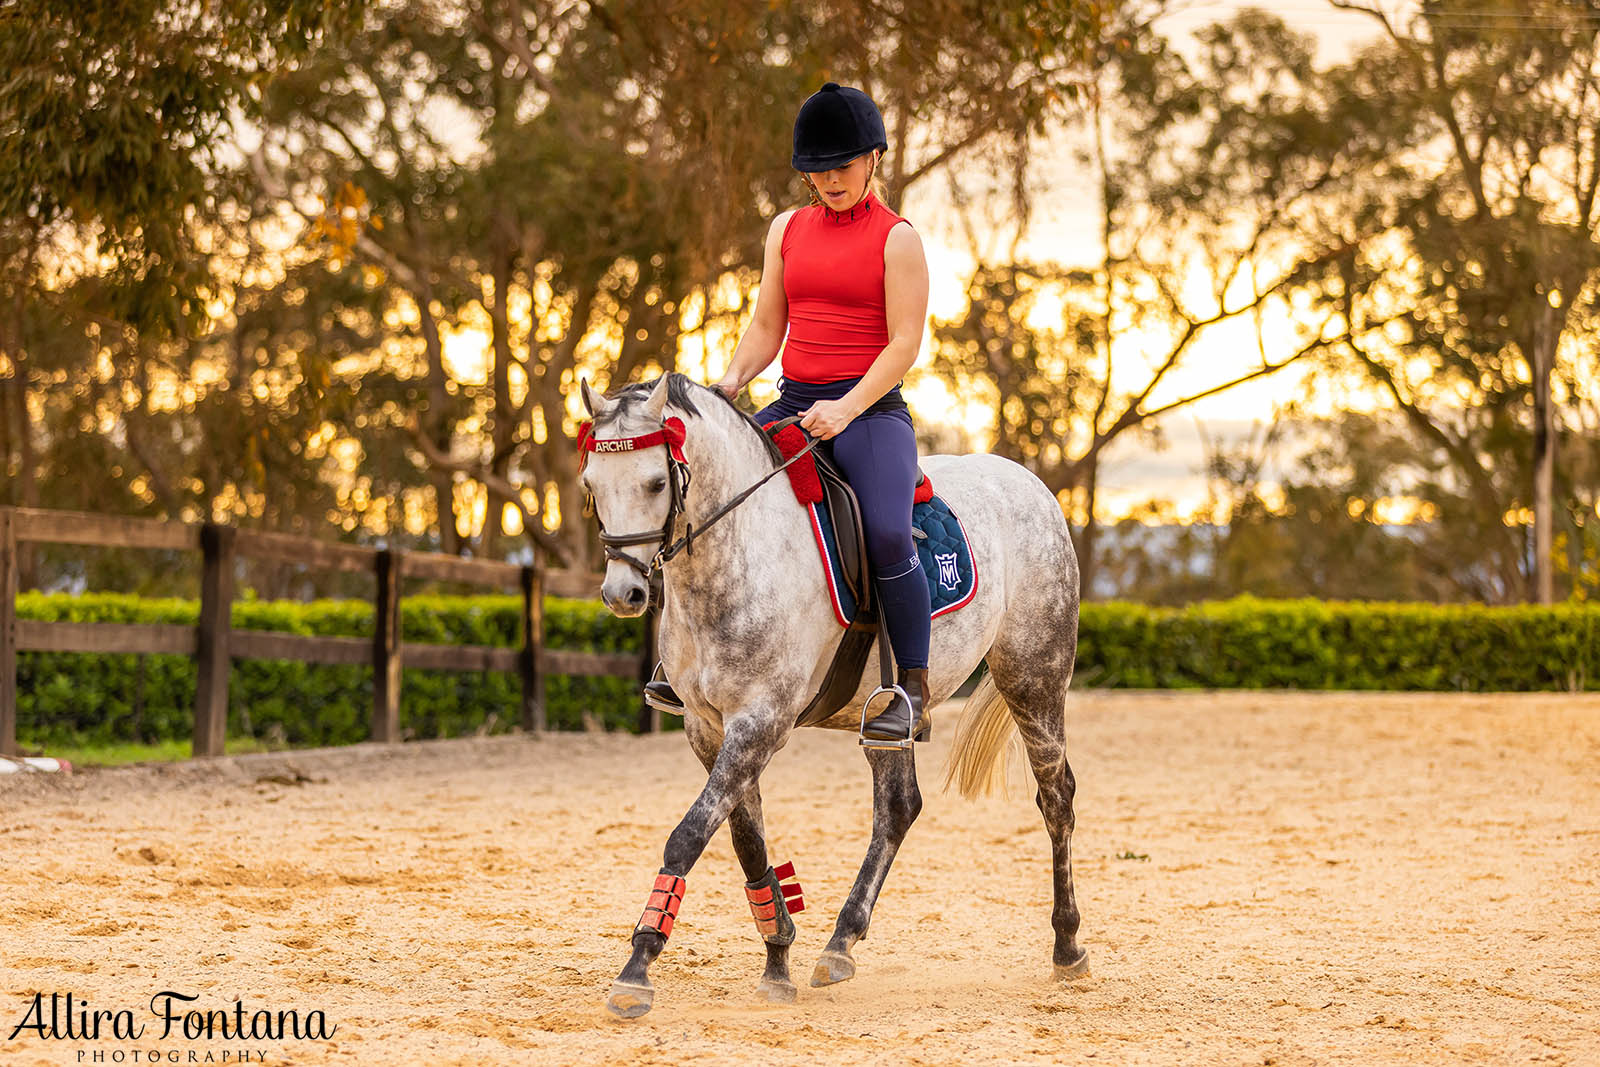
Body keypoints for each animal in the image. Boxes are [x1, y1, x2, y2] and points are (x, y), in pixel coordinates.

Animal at [576, 374, 1088, 1017]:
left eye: (655, 482)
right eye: (591, 485)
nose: (623, 594)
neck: (738, 552)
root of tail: (1030, 483)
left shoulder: (760, 722)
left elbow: (688, 834)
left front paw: (638, 968)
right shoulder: (708, 727)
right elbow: (745, 841)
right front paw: (777, 957)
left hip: (1034, 678)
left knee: (1056, 797)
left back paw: (1068, 946)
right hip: (885, 716)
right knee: (897, 809)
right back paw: (840, 942)